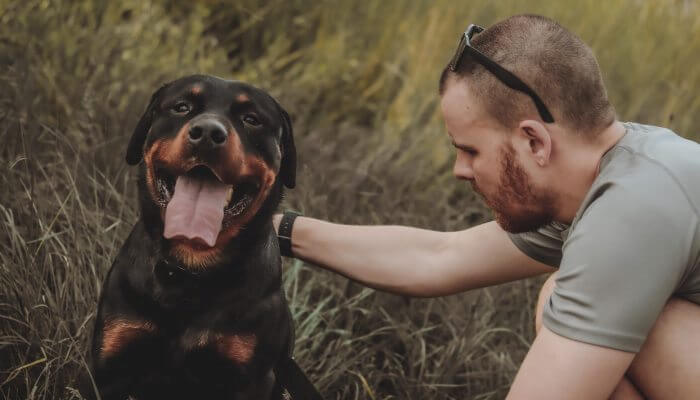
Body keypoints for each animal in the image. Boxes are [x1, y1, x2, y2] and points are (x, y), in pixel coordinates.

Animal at [91, 75, 300, 400]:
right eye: (181, 107)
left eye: (251, 119)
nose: (207, 134)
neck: (192, 267)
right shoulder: (111, 361)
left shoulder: (249, 379)